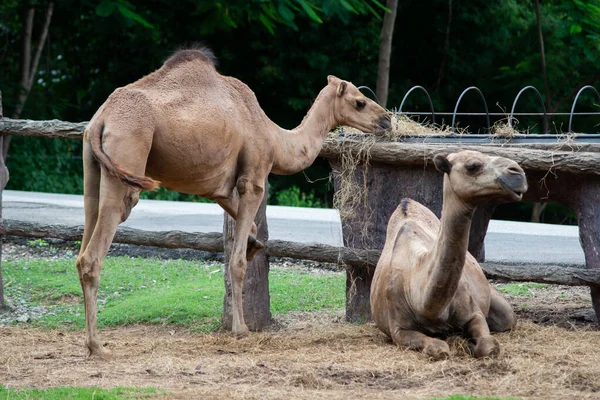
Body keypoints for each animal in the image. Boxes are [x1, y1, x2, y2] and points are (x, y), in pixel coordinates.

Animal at [78, 47, 390, 360]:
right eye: (360, 102)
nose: (386, 120)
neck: (275, 139)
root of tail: (101, 119)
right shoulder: (253, 179)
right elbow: (237, 261)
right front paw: (241, 329)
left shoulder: (221, 189)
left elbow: (248, 228)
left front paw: (254, 246)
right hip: (128, 155)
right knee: (98, 248)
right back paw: (98, 346)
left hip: (93, 168)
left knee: (85, 239)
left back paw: (91, 342)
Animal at [370, 150, 524, 360]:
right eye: (472, 166)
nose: (518, 172)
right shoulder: (398, 328)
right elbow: (438, 349)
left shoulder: (473, 312)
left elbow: (489, 346)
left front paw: (470, 344)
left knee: (508, 318)